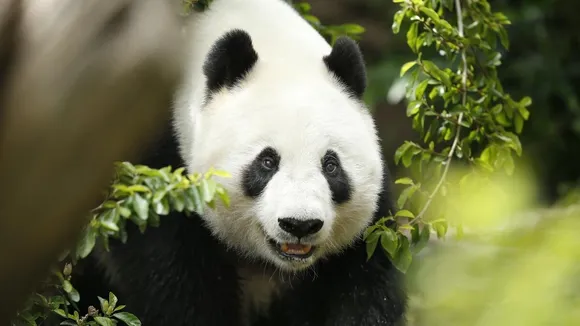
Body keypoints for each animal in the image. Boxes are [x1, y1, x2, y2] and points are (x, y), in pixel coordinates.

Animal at [72, 0, 408, 324]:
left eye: (331, 165)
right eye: (267, 162)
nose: (300, 224)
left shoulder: (368, 230)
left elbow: (365, 286)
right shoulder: (154, 178)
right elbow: (173, 281)